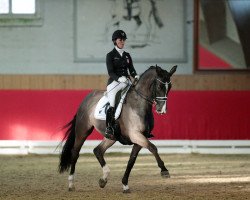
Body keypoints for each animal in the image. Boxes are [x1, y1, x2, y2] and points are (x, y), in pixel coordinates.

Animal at [58, 65, 177, 193]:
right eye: (159, 86)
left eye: (170, 87)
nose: (162, 110)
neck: (139, 104)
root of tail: (86, 99)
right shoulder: (135, 135)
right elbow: (153, 148)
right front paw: (164, 171)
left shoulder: (140, 138)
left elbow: (131, 161)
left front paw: (125, 185)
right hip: (82, 131)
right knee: (75, 153)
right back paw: (71, 184)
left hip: (112, 137)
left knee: (98, 150)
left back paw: (103, 179)